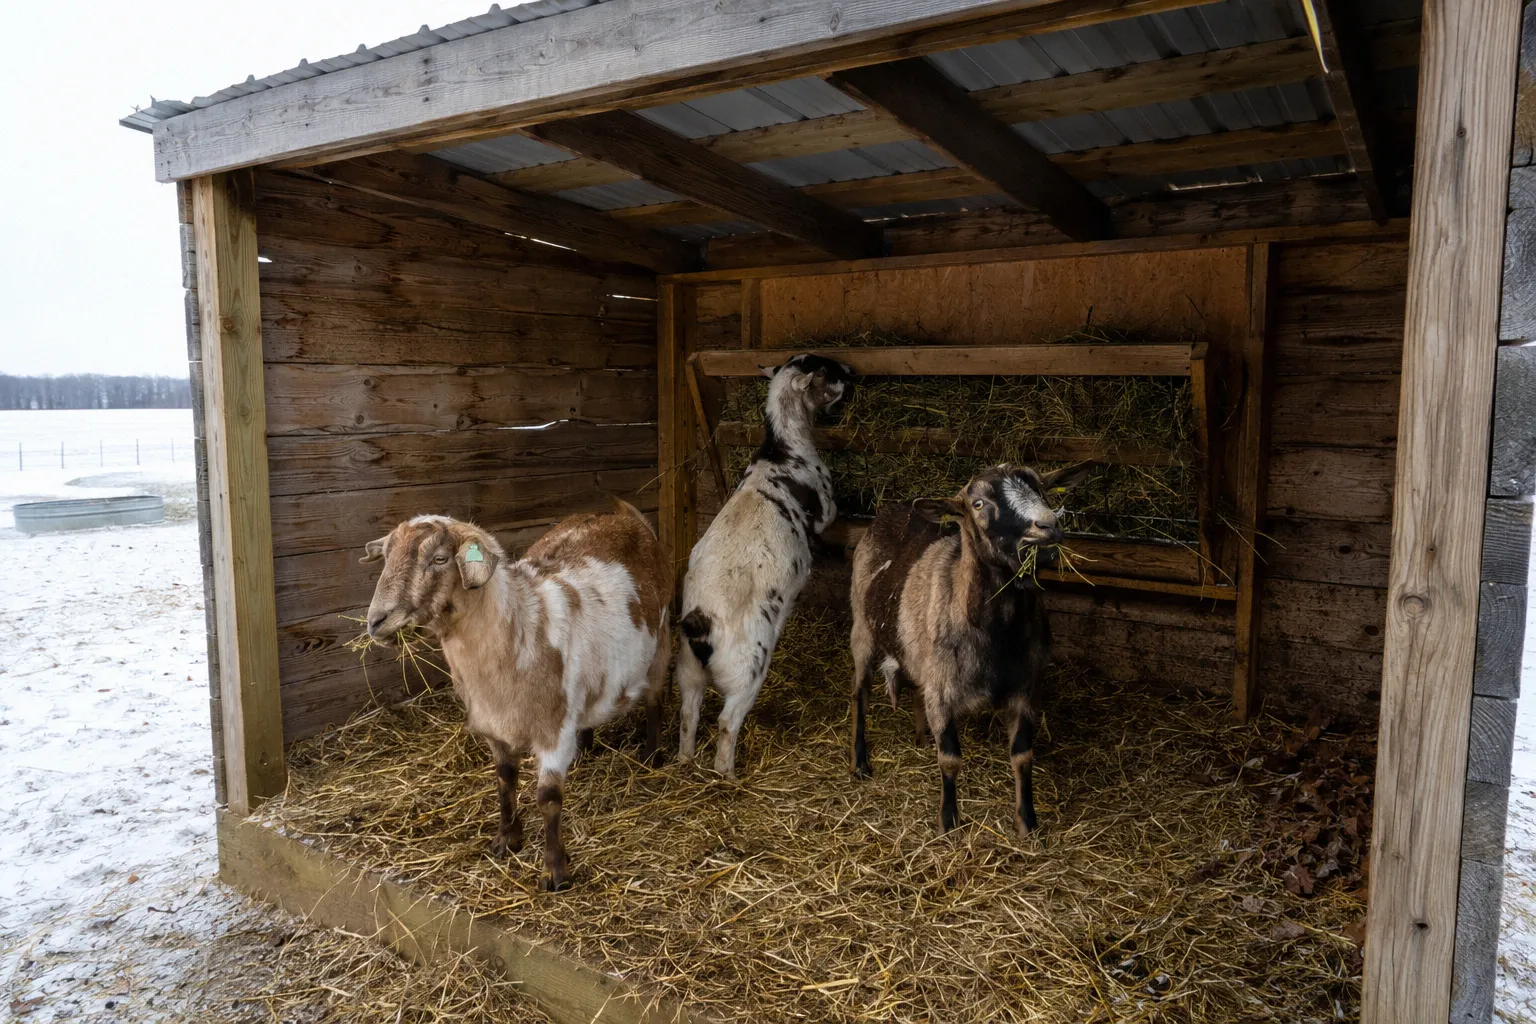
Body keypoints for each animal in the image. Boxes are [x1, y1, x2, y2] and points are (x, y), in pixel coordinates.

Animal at [361, 501, 668, 891]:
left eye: (440, 559)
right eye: (386, 556)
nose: (376, 621)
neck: (521, 628)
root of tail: (619, 511)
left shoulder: (553, 730)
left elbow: (548, 799)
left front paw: (555, 872)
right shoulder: (495, 726)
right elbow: (504, 782)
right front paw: (506, 840)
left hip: (661, 643)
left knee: (655, 699)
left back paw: (653, 755)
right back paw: (586, 747)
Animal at [676, 353, 855, 778]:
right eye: (828, 371)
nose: (853, 374)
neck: (782, 448)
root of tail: (700, 622)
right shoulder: (825, 504)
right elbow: (827, 517)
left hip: (688, 669)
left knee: (689, 713)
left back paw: (686, 761)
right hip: (747, 668)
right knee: (727, 721)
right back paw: (727, 775)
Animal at [848, 464, 1089, 836]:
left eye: (1041, 489)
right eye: (978, 504)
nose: (1047, 526)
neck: (997, 633)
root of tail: (894, 508)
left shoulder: (1027, 689)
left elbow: (1023, 757)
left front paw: (1027, 822)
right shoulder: (942, 692)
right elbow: (950, 759)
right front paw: (948, 822)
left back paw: (921, 738)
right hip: (862, 627)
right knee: (859, 693)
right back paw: (861, 763)